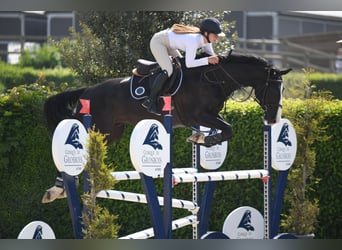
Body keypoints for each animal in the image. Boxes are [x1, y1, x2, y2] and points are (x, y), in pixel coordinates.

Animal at [40, 51, 292, 202]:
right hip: (98, 127)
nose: (273, 120)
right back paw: (57, 189)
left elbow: (224, 129)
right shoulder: (197, 115)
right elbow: (228, 129)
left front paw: (200, 138)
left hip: (111, 132)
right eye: (273, 88)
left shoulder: (208, 115)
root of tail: (87, 91)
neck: (213, 77)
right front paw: (203, 139)